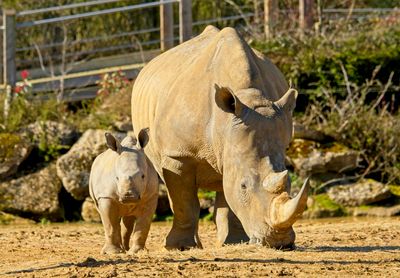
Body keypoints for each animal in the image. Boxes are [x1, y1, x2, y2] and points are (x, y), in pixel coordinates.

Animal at [131, 25, 310, 250]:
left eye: (289, 184)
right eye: (244, 185)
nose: (279, 242)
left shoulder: (233, 147)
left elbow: (230, 196)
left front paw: (236, 242)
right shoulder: (177, 154)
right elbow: (184, 202)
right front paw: (180, 247)